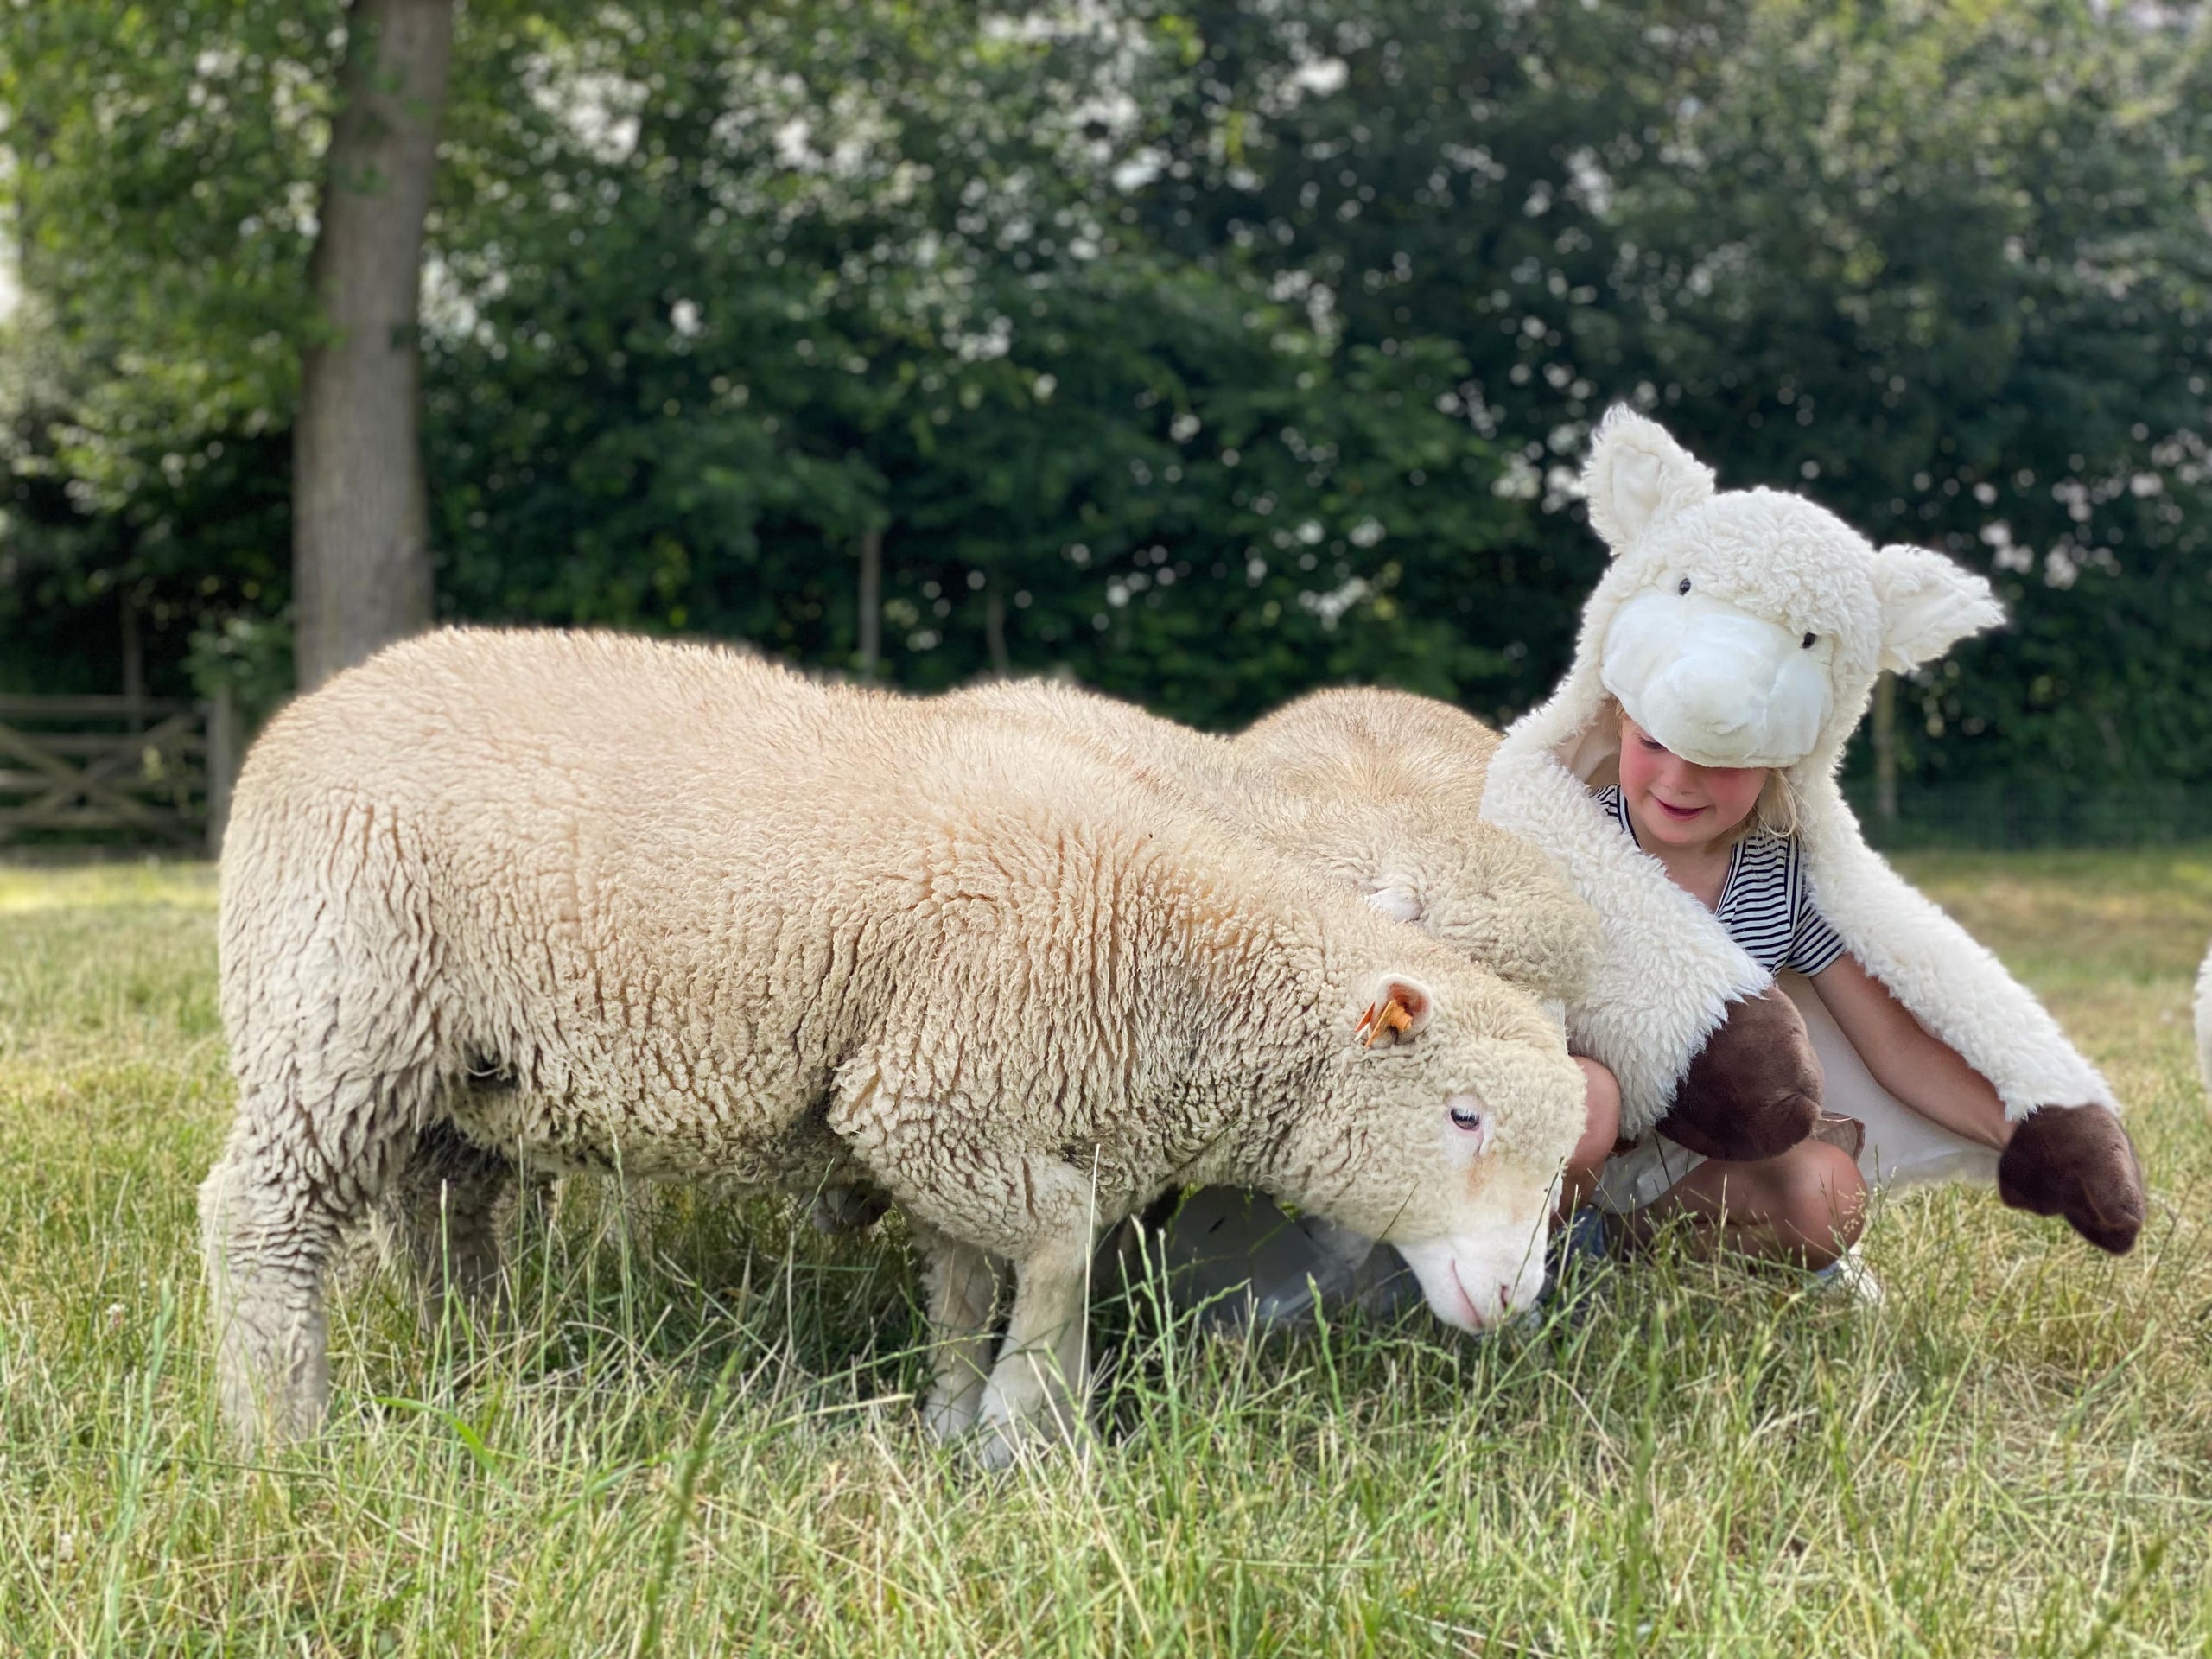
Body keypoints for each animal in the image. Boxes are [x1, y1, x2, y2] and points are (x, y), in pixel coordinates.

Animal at [200, 628, 1588, 1461]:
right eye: (1464, 1115)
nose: (1517, 1296)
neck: (1171, 956)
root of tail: (301, 718)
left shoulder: (969, 1118)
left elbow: (970, 1284)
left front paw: (955, 1417)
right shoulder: (921, 1096)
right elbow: (1059, 1250)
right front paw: (1033, 1429)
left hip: (465, 1069)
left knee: (441, 1209)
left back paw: (479, 1362)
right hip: (339, 998)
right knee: (258, 1215)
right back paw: (284, 1431)